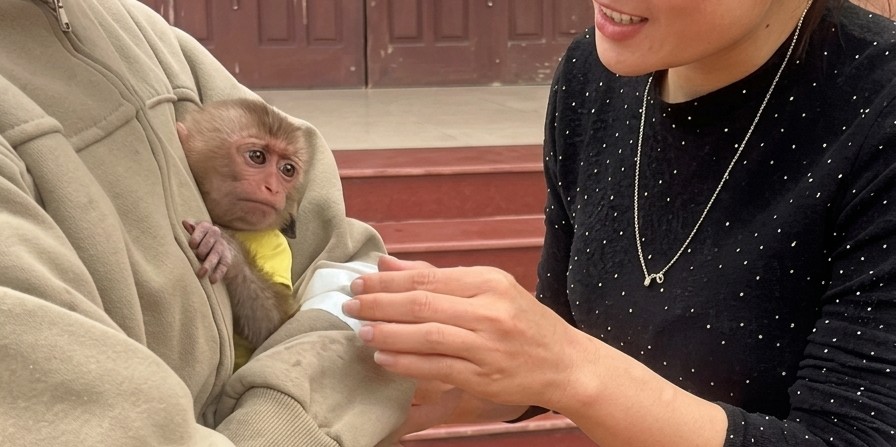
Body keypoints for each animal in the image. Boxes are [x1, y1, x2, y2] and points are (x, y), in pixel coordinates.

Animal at [176, 98, 305, 370]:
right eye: (257, 156)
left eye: (287, 169)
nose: (273, 188)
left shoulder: (278, 247)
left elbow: (275, 327)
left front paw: (223, 246)